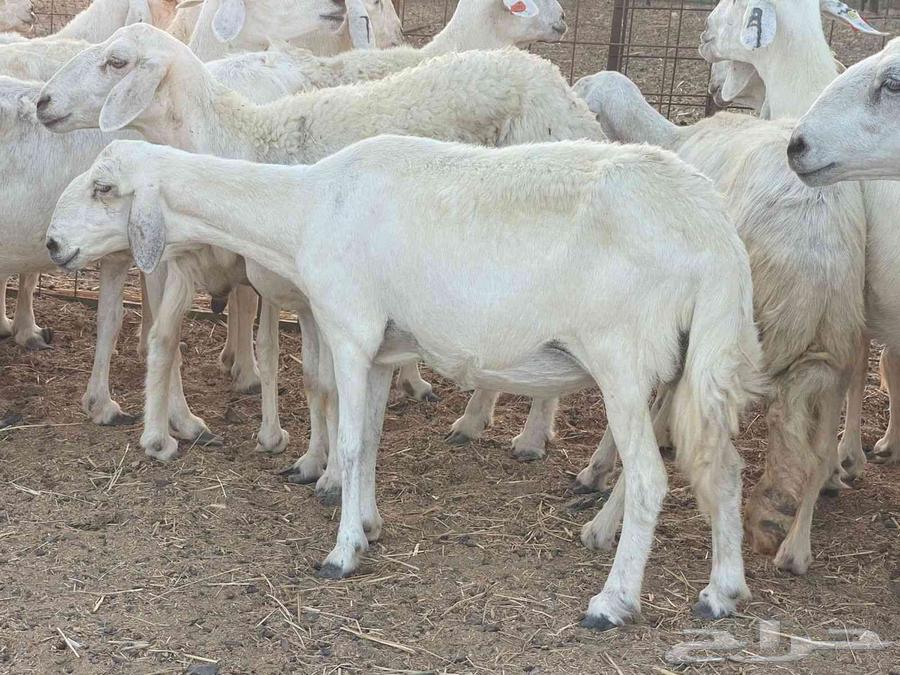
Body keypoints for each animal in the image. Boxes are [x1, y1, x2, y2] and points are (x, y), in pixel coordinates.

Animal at [38, 24, 605, 495]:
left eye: (116, 62)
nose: (41, 101)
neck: (244, 142)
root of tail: (558, 82)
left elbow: (327, 384)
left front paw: (331, 474)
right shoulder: (301, 298)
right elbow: (315, 381)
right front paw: (313, 462)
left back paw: (535, 439)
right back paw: (474, 421)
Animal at [47, 134, 764, 628]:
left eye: (104, 187)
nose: (52, 244)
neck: (305, 210)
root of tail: (719, 240)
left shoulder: (349, 328)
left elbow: (349, 442)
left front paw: (341, 554)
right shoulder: (385, 351)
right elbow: (370, 439)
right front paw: (366, 522)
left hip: (621, 356)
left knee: (650, 478)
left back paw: (612, 601)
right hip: (693, 362)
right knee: (724, 467)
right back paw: (721, 590)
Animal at [573, 70, 866, 576]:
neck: (675, 137)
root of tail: (815, 271)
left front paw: (598, 468)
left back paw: (604, 525)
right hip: (833, 350)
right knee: (817, 453)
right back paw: (795, 547)